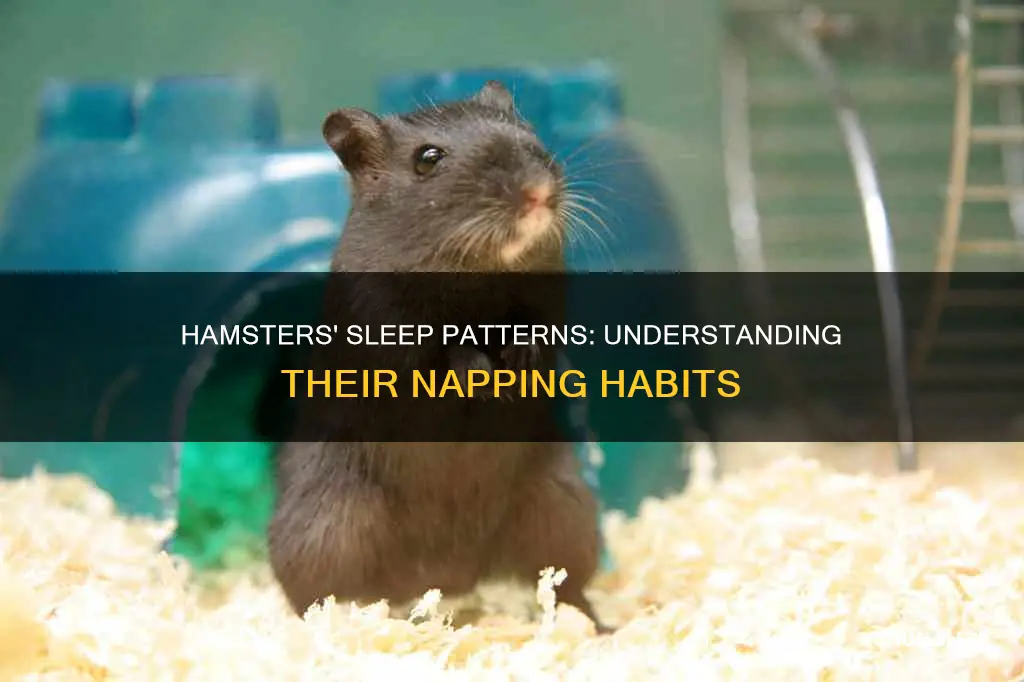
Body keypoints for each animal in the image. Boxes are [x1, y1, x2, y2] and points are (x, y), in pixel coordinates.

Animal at [266, 81, 611, 634]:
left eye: (528, 130)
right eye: (428, 159)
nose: (539, 191)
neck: (475, 273)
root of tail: (447, 577)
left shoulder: (548, 306)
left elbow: (535, 339)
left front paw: (514, 361)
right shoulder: (386, 333)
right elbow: (438, 359)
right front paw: (479, 370)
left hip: (561, 507)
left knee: (564, 584)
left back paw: (598, 624)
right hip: (326, 524)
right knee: (319, 597)